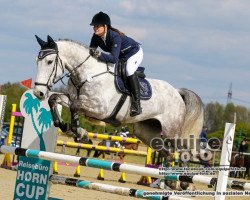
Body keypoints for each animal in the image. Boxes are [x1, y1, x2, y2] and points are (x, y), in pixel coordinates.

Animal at [33, 35, 204, 148]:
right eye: (37, 61)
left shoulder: (100, 109)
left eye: (49, 62)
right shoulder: (76, 99)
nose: (38, 93)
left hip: (171, 131)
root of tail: (177, 92)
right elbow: (54, 99)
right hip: (145, 132)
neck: (88, 74)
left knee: (181, 150)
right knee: (163, 148)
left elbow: (74, 107)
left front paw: (78, 133)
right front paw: (70, 129)